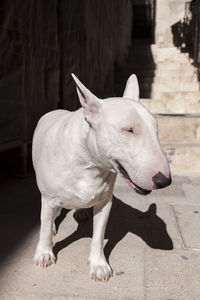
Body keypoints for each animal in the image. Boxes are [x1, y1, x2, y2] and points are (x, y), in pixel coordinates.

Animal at [32, 73, 171, 282]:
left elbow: (98, 235)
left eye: (156, 129)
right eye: (129, 130)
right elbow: (45, 226)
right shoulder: (49, 198)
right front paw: (44, 253)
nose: (165, 181)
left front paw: (99, 266)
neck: (89, 163)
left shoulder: (105, 202)